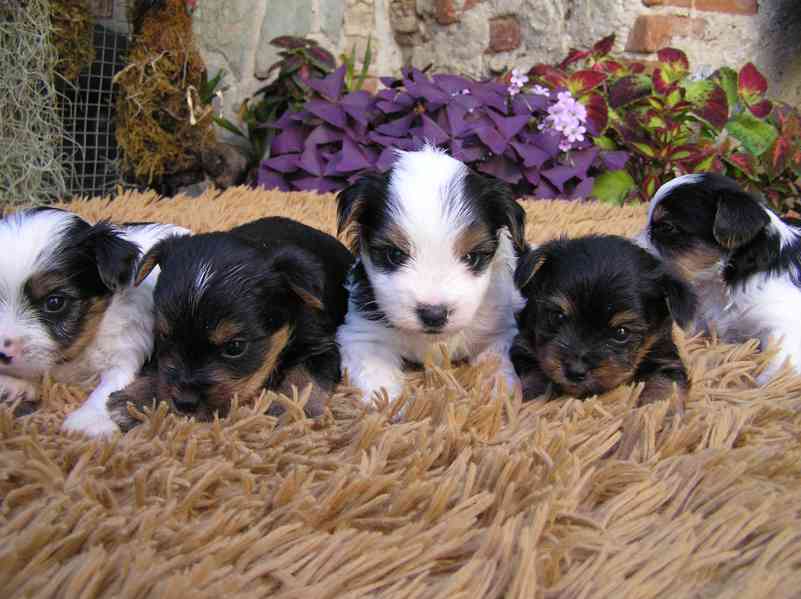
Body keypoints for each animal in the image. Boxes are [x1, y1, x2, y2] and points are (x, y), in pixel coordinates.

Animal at [0, 209, 189, 438]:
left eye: (54, 302)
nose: (2, 354)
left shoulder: (126, 350)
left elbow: (110, 386)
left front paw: (89, 420)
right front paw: (13, 385)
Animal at [106, 214, 354, 426]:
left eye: (235, 347)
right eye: (164, 336)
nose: (185, 403)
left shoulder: (322, 346)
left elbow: (304, 377)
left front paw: (291, 411)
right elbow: (161, 370)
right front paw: (134, 398)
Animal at [334, 147, 528, 406]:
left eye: (472, 257)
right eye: (394, 254)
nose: (433, 315)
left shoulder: (498, 331)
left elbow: (495, 362)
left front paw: (499, 397)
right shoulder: (363, 336)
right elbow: (378, 380)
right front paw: (394, 406)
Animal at [512, 234, 692, 408]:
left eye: (621, 333)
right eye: (558, 317)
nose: (575, 371)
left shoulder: (665, 358)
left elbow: (666, 385)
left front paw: (658, 410)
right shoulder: (523, 345)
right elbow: (535, 372)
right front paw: (535, 400)